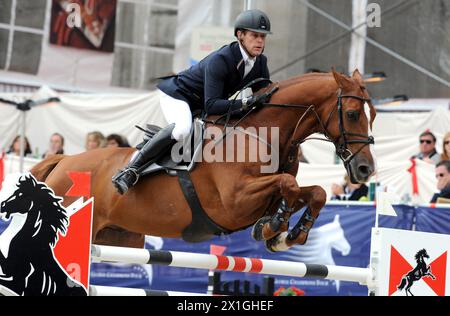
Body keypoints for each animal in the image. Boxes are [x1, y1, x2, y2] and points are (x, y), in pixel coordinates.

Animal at [29, 68, 376, 252]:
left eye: (372, 115)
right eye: (352, 113)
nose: (365, 169)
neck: (263, 134)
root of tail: (63, 160)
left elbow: (314, 191)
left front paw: (289, 234)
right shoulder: (235, 201)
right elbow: (287, 183)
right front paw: (275, 226)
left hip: (120, 238)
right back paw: (126, 176)